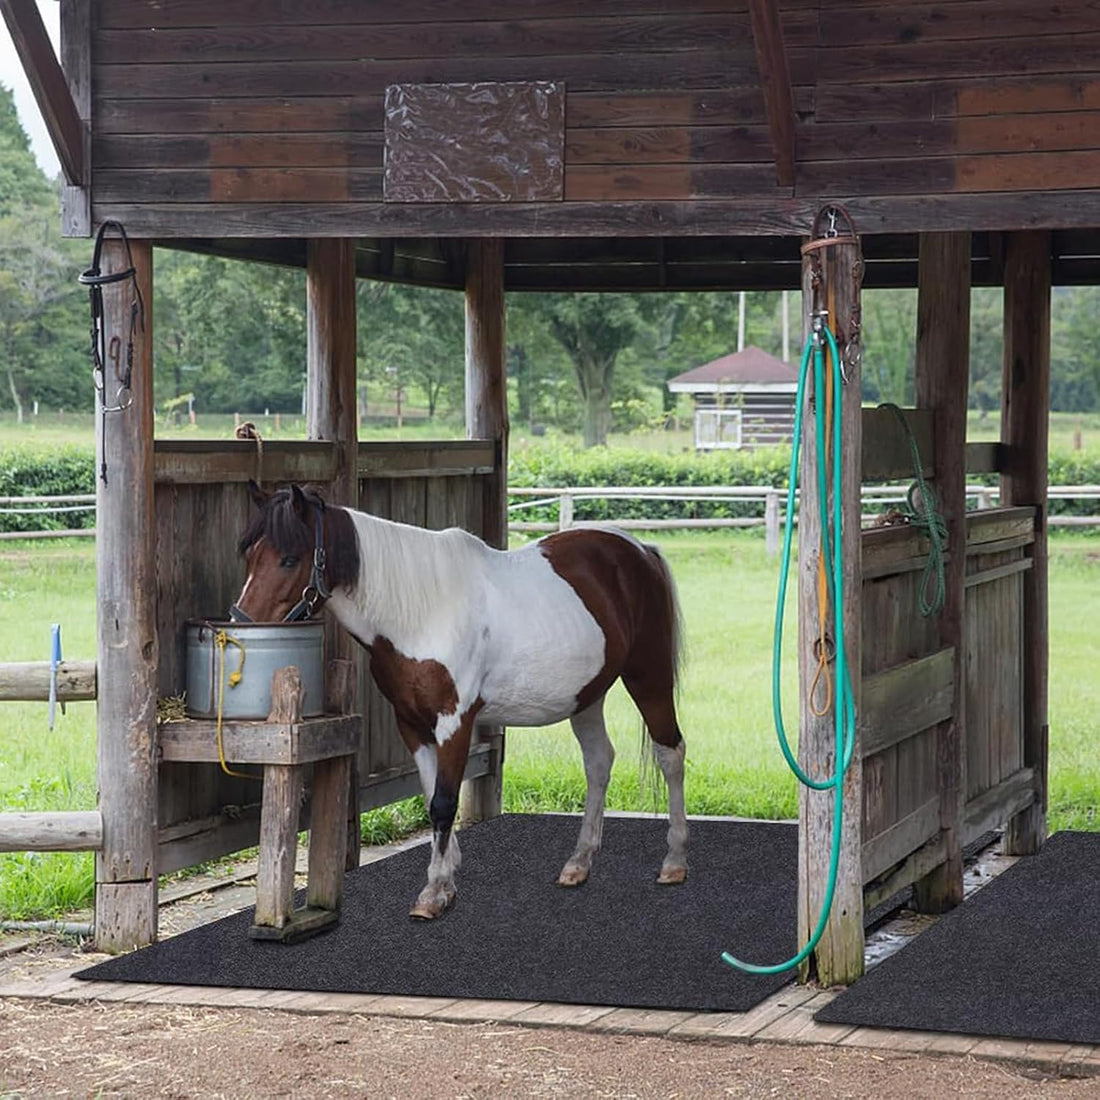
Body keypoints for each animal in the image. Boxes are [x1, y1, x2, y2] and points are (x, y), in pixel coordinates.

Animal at [233, 481, 688, 920]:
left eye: (289, 559)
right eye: (250, 555)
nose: (242, 627)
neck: (424, 612)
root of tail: (640, 551)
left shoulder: (455, 721)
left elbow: (443, 802)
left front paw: (433, 892)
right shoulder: (411, 724)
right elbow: (431, 793)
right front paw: (447, 881)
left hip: (648, 678)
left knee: (670, 753)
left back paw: (675, 860)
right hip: (587, 695)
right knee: (598, 762)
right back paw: (579, 863)